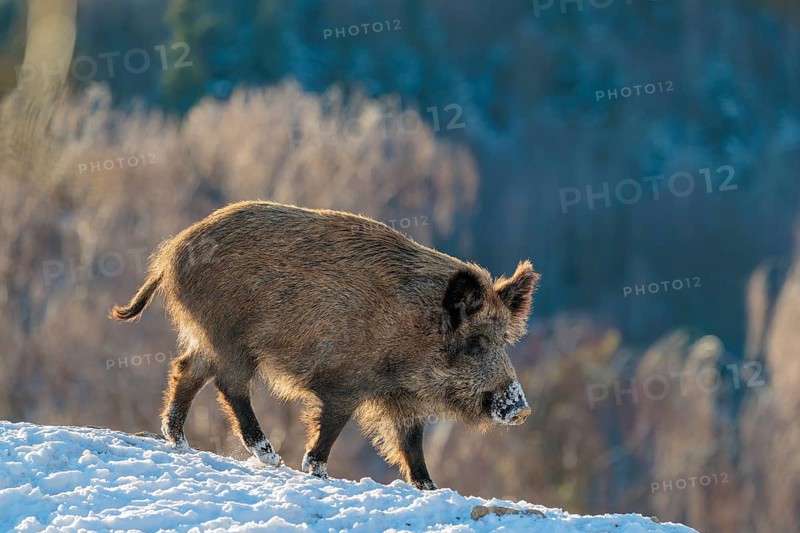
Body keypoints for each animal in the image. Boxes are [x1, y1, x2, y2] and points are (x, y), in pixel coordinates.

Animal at [111, 201, 540, 490]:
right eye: (476, 341)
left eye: (504, 340)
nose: (521, 409)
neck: (414, 329)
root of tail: (170, 254)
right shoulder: (345, 384)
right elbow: (332, 427)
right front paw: (316, 471)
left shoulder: (403, 401)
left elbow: (411, 445)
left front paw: (430, 489)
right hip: (230, 339)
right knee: (229, 385)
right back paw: (270, 457)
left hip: (208, 337)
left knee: (186, 369)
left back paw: (178, 440)